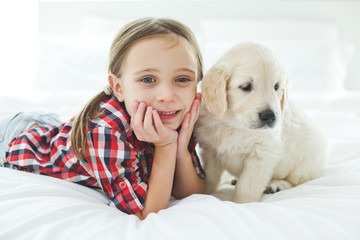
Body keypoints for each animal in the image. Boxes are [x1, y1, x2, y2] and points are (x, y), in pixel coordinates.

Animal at [195, 41, 328, 202]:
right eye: (246, 86)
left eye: (276, 86)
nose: (269, 116)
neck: (235, 125)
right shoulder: (211, 152)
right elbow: (210, 179)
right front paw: (204, 194)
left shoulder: (262, 155)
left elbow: (246, 188)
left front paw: (240, 203)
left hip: (307, 162)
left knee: (296, 181)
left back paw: (277, 185)